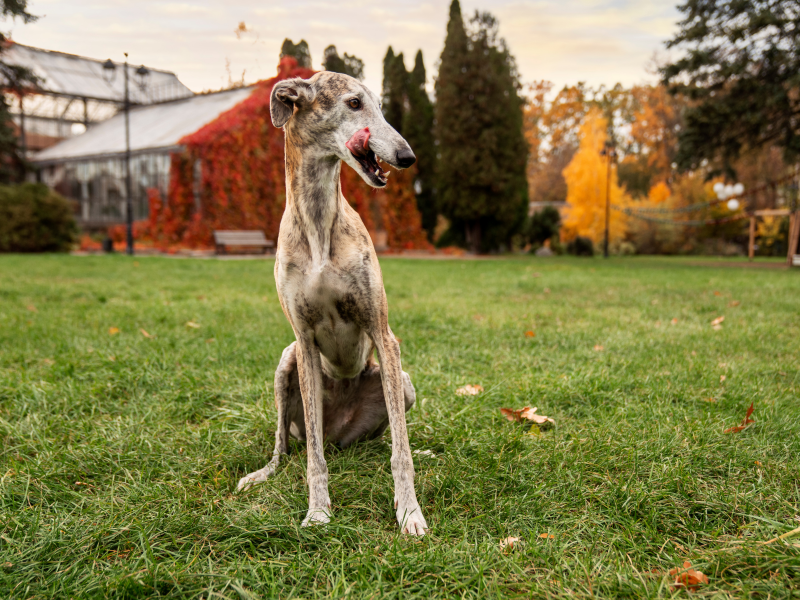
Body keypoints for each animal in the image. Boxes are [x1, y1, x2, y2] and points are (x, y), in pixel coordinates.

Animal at [236, 70, 428, 536]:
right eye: (354, 103)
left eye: (380, 106)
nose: (407, 156)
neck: (319, 222)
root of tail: (340, 430)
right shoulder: (303, 342)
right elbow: (313, 459)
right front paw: (319, 511)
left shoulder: (382, 332)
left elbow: (401, 451)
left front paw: (409, 512)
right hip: (285, 365)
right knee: (287, 446)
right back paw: (262, 473)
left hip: (401, 383)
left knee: (386, 438)